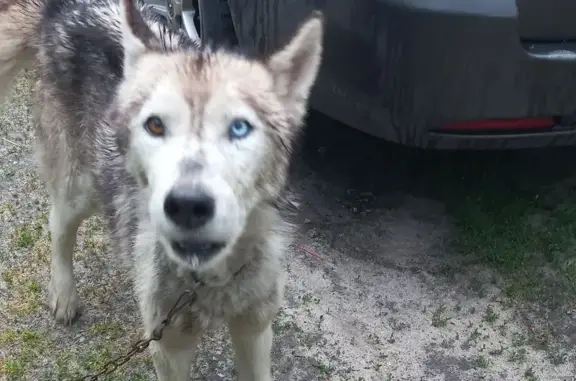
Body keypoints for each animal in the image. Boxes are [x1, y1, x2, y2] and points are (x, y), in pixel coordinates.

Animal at [0, 0, 324, 378]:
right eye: (155, 125)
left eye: (239, 128)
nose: (187, 205)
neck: (208, 280)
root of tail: (65, 8)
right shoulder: (169, 346)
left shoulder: (255, 329)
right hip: (79, 189)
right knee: (58, 227)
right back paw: (64, 295)